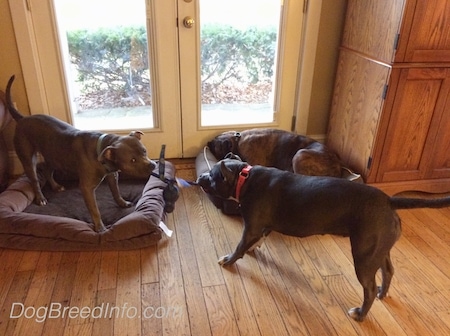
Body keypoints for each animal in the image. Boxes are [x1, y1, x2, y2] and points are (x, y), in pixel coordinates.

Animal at [4, 76, 156, 232]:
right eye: (132, 160)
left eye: (144, 151)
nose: (152, 165)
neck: (101, 150)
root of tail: (22, 118)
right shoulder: (87, 188)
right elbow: (95, 210)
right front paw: (100, 227)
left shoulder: (112, 176)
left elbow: (116, 192)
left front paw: (122, 203)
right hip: (29, 159)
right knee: (34, 180)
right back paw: (41, 198)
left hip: (54, 156)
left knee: (47, 170)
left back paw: (56, 186)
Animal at [198, 159, 450, 322]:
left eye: (212, 176)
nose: (200, 176)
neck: (243, 177)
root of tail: (389, 201)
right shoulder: (263, 226)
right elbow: (259, 239)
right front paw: (253, 248)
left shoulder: (250, 227)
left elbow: (240, 245)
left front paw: (230, 260)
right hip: (379, 250)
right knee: (388, 271)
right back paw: (382, 293)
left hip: (363, 257)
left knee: (368, 288)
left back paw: (360, 314)